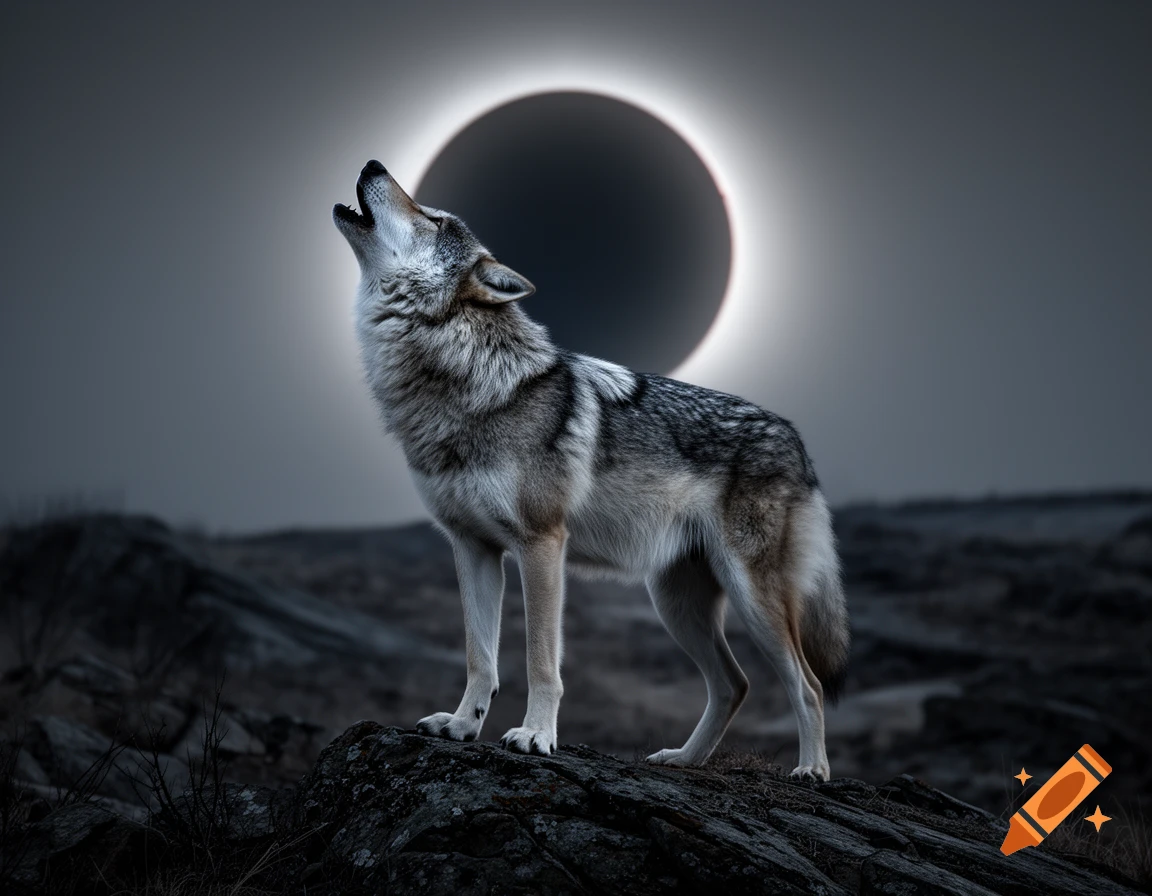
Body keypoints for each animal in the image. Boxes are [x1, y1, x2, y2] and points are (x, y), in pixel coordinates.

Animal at [333, 160, 849, 779]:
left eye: (433, 220)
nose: (373, 164)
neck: (460, 380)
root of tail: (796, 439)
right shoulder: (472, 547)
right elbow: (480, 657)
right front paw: (461, 726)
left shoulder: (541, 544)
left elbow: (540, 661)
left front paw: (535, 735)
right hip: (675, 603)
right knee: (735, 684)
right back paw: (683, 759)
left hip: (752, 599)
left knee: (808, 685)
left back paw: (812, 771)